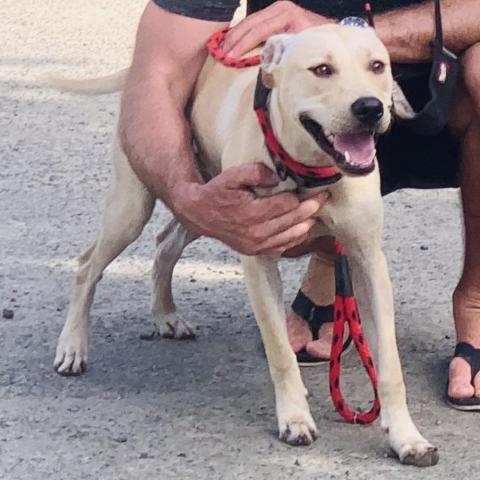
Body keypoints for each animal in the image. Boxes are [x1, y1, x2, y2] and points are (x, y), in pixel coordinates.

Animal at [50, 25, 436, 464]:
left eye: (377, 66)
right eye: (322, 69)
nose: (370, 107)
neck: (307, 171)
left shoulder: (367, 263)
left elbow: (389, 366)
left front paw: (406, 436)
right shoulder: (259, 261)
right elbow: (281, 352)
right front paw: (295, 418)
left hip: (202, 203)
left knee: (165, 244)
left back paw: (166, 315)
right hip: (134, 207)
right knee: (87, 265)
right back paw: (73, 346)